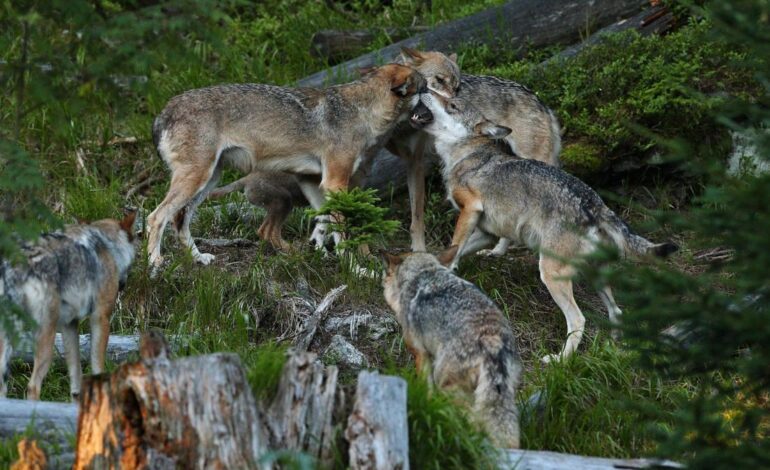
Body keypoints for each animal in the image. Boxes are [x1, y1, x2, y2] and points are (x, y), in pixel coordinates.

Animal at [0, 213, 136, 400]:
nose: (122, 285)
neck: (107, 244)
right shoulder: (100, 317)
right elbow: (97, 366)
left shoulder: (69, 324)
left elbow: (76, 374)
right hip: (45, 336)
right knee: (33, 386)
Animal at [148, 63, 426, 268]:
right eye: (426, 89)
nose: (432, 112)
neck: (362, 112)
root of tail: (164, 111)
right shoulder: (335, 182)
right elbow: (342, 230)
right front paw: (356, 268)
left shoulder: (313, 182)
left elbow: (324, 222)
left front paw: (319, 252)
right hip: (197, 180)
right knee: (156, 217)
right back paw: (155, 263)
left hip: (207, 181)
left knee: (179, 219)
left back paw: (198, 258)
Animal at [380, 246, 520, 448]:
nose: (382, 282)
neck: (423, 273)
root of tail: (492, 341)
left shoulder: (421, 354)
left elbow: (426, 388)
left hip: (447, 385)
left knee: (473, 419)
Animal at [412, 92, 676, 364]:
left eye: (452, 104)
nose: (424, 89)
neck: (466, 154)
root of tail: (595, 204)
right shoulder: (488, 233)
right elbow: (452, 250)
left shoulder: (471, 210)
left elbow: (454, 246)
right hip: (595, 276)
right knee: (617, 311)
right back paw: (615, 345)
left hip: (550, 274)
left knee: (578, 320)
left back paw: (559, 360)